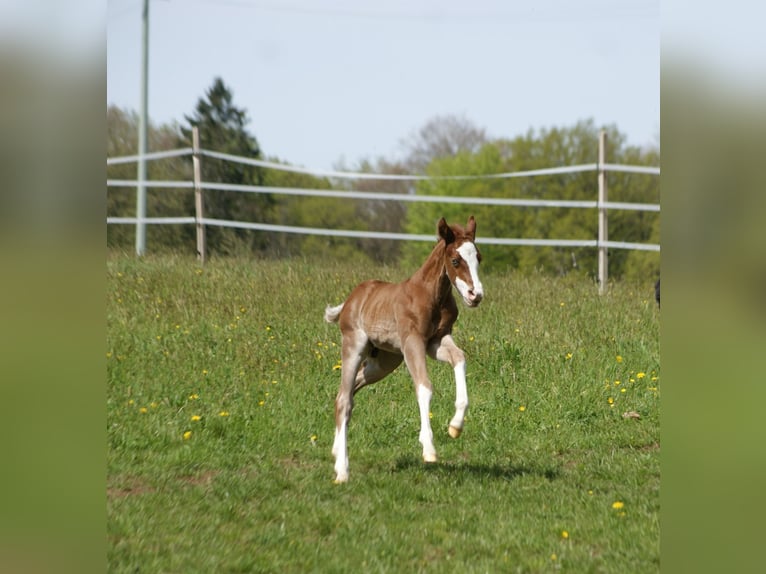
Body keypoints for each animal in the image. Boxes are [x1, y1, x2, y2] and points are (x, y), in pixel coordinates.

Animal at [324, 216, 484, 483]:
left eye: (478, 258)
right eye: (455, 260)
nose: (476, 295)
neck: (432, 295)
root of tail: (350, 300)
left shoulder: (436, 341)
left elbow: (459, 358)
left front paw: (455, 426)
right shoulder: (413, 341)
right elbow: (424, 386)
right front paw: (428, 448)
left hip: (383, 361)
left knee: (348, 392)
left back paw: (336, 452)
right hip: (354, 346)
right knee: (344, 400)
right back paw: (342, 471)